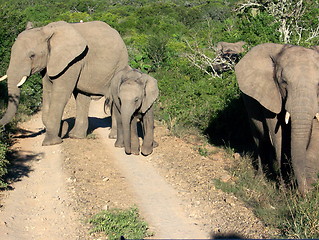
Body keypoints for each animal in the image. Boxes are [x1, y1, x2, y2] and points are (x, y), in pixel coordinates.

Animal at [0, 20, 130, 145]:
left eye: (32, 55)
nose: (4, 129)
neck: (46, 30)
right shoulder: (50, 63)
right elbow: (47, 92)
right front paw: (62, 130)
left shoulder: (72, 62)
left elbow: (60, 94)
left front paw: (51, 142)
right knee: (82, 96)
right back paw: (76, 136)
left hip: (119, 64)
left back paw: (113, 137)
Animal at [235, 42, 319, 195]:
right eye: (283, 82)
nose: (304, 191)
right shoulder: (271, 95)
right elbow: (278, 136)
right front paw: (284, 189)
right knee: (259, 139)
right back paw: (260, 179)